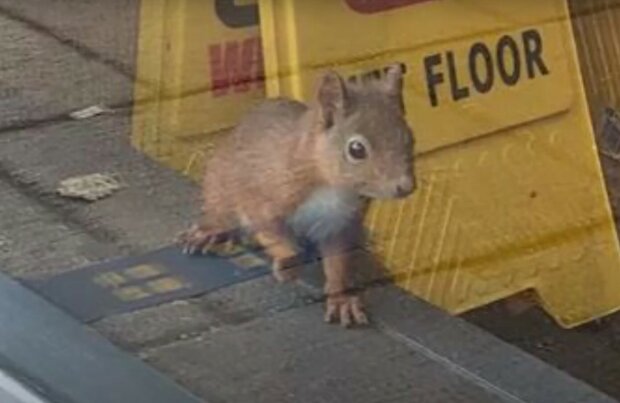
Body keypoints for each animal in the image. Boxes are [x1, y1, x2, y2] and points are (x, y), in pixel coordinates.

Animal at [178, 63, 416, 328]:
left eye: (409, 137)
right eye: (356, 149)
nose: (405, 186)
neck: (332, 185)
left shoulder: (340, 223)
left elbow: (337, 263)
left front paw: (341, 298)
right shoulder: (265, 194)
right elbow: (271, 231)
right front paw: (289, 264)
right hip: (220, 183)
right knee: (221, 213)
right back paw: (210, 233)